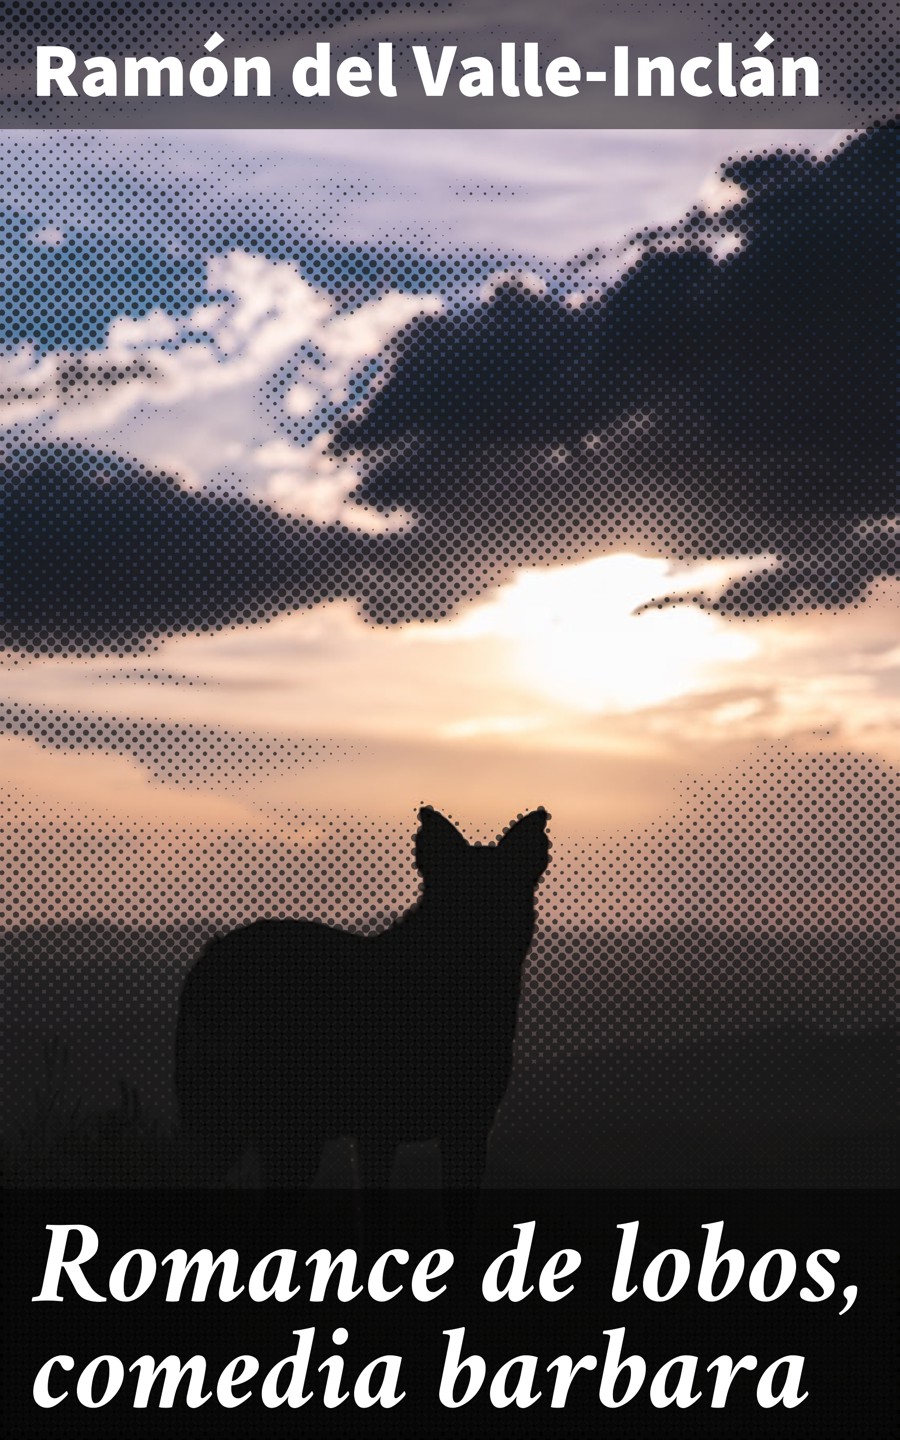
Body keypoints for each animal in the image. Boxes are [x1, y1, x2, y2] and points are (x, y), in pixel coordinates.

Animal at [175, 806, 549, 1186]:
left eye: (504, 899)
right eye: (458, 903)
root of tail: (212, 956)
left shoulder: (466, 1133)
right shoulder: (378, 1135)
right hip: (286, 1133)